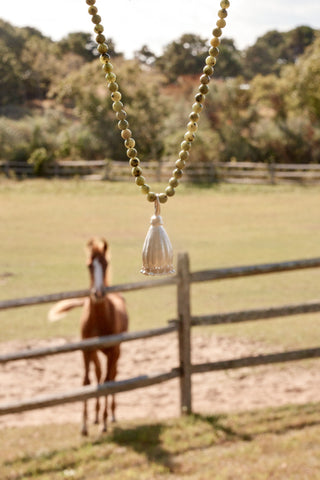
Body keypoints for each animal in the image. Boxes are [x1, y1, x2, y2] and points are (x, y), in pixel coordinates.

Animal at [48, 237, 128, 436]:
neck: (99, 318)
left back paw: (110, 416)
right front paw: (84, 425)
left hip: (116, 352)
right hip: (95, 353)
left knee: (112, 376)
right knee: (99, 375)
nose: (98, 294)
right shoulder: (86, 350)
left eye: (106, 263)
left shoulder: (112, 351)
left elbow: (108, 381)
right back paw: (96, 416)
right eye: (89, 265)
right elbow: (86, 382)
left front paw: (104, 423)